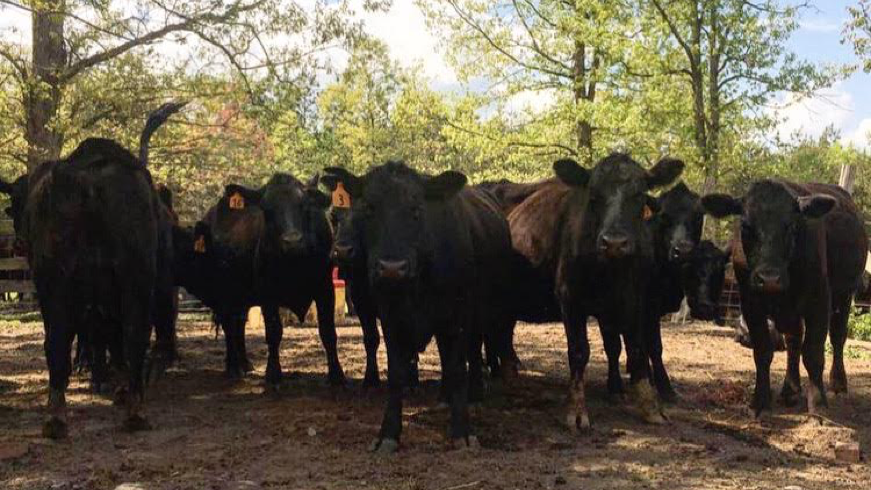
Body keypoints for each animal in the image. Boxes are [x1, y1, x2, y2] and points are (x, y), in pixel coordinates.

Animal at [0, 102, 182, 436]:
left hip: (62, 282)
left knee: (64, 339)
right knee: (128, 335)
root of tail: (89, 182)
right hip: (130, 278)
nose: (19, 240)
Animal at [328, 163, 516, 454]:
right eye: (369, 208)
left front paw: (462, 432)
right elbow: (396, 372)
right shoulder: (389, 317)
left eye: (416, 209)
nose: (392, 268)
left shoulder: (457, 317)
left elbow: (457, 367)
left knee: (473, 351)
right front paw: (388, 434)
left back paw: (474, 392)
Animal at [508, 153, 684, 428]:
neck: (610, 271)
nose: (614, 242)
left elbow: (637, 349)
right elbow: (579, 351)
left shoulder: (635, 299)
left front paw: (650, 406)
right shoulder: (570, 297)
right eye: (593, 196)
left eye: (639, 195)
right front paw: (577, 409)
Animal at [704, 181, 868, 418]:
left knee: (837, 337)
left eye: (791, 226)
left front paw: (818, 404)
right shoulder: (751, 304)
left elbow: (813, 353)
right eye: (746, 226)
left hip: (845, 294)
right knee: (794, 341)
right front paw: (760, 401)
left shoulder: (819, 300)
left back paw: (838, 383)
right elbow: (763, 351)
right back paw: (790, 389)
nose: (769, 278)